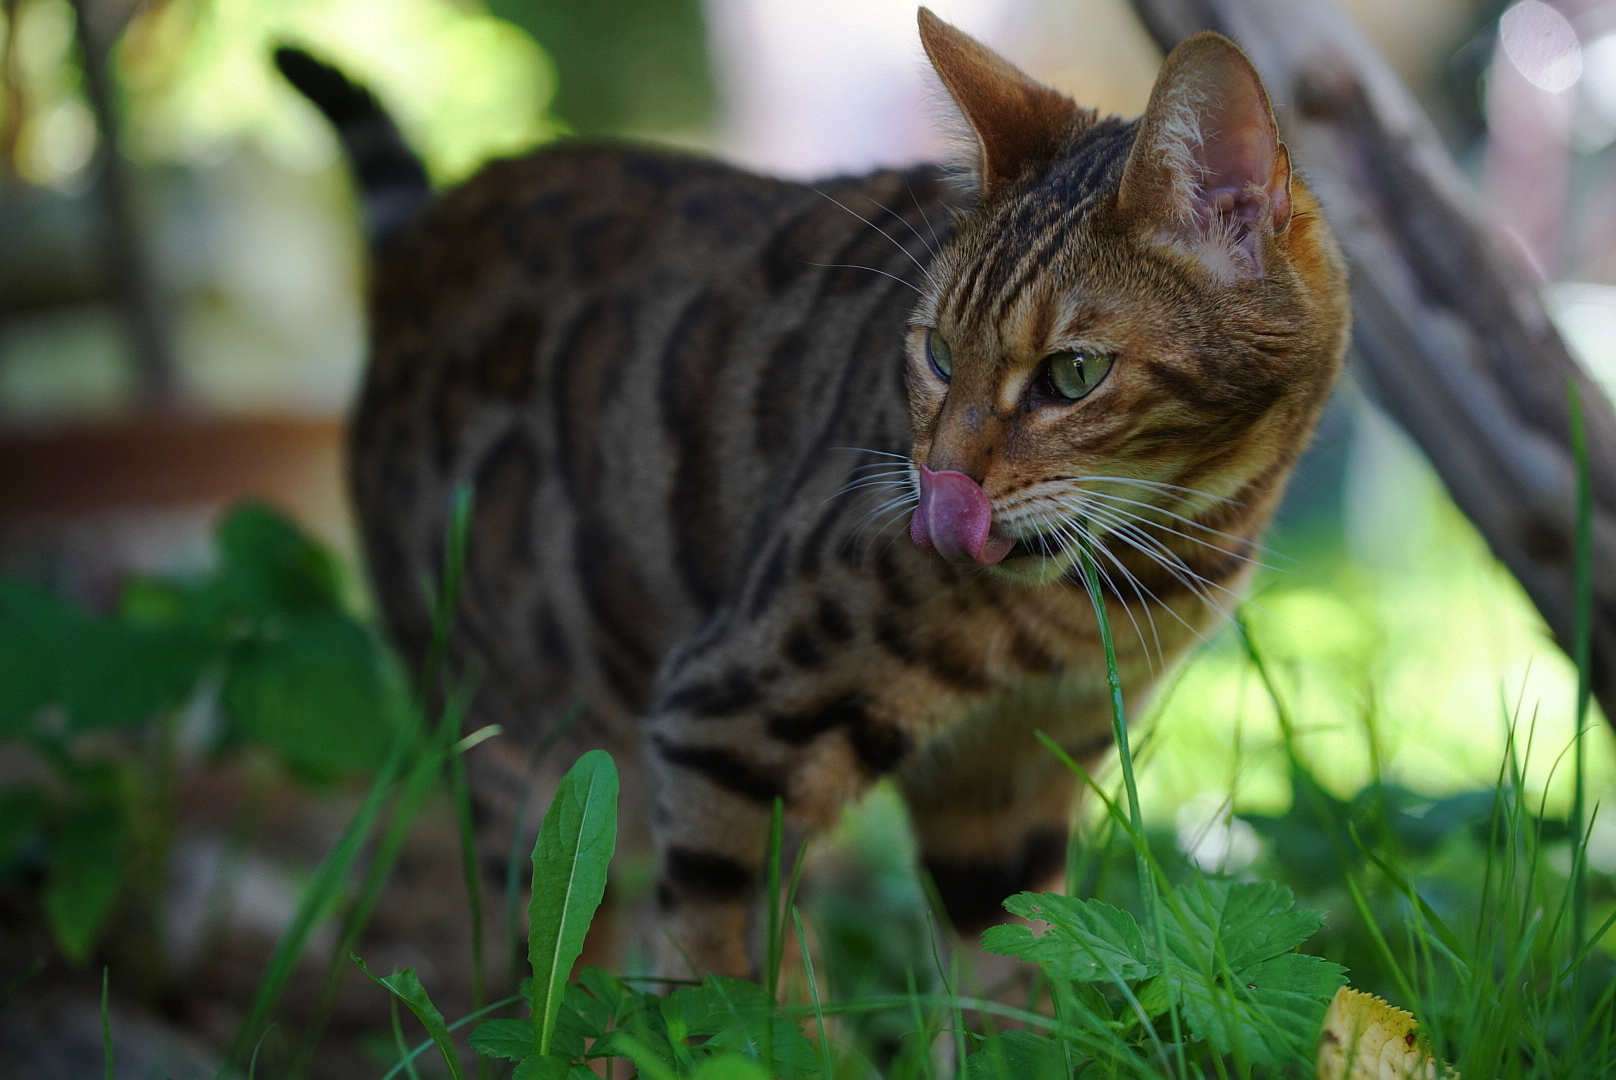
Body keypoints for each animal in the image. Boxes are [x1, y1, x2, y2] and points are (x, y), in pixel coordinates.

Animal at [281, 8, 1350, 982]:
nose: (937, 485)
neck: (1123, 585)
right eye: (938, 353)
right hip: (519, 742)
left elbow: (1012, 989)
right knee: (556, 959)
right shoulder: (725, 729)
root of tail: (422, 235)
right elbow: (731, 986)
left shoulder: (1007, 788)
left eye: (1075, 374)